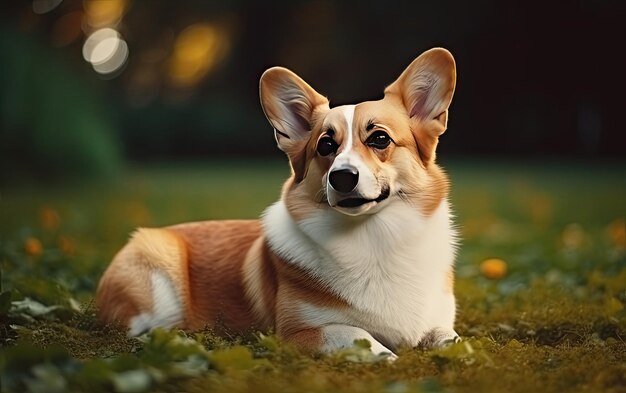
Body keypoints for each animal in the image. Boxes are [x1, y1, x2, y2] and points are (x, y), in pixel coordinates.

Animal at [97, 47, 458, 356]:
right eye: (326, 146)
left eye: (380, 138)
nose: (341, 177)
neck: (374, 237)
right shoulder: (299, 333)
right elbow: (361, 336)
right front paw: (388, 357)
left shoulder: (439, 321)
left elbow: (452, 338)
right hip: (156, 266)